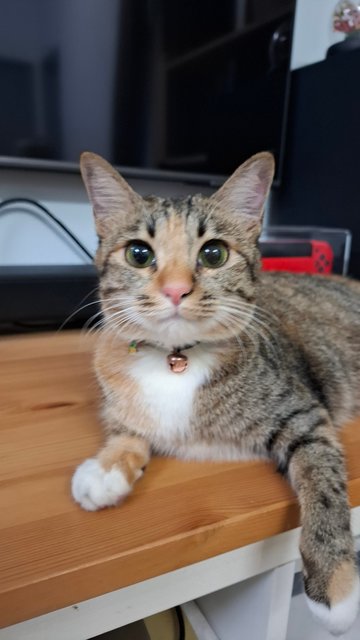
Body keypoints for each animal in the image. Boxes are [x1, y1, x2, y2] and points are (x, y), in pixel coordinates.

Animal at [71, 150, 360, 636]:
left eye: (214, 252)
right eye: (138, 253)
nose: (175, 289)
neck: (175, 360)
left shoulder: (303, 411)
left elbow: (321, 479)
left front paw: (336, 585)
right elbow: (127, 429)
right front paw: (106, 469)